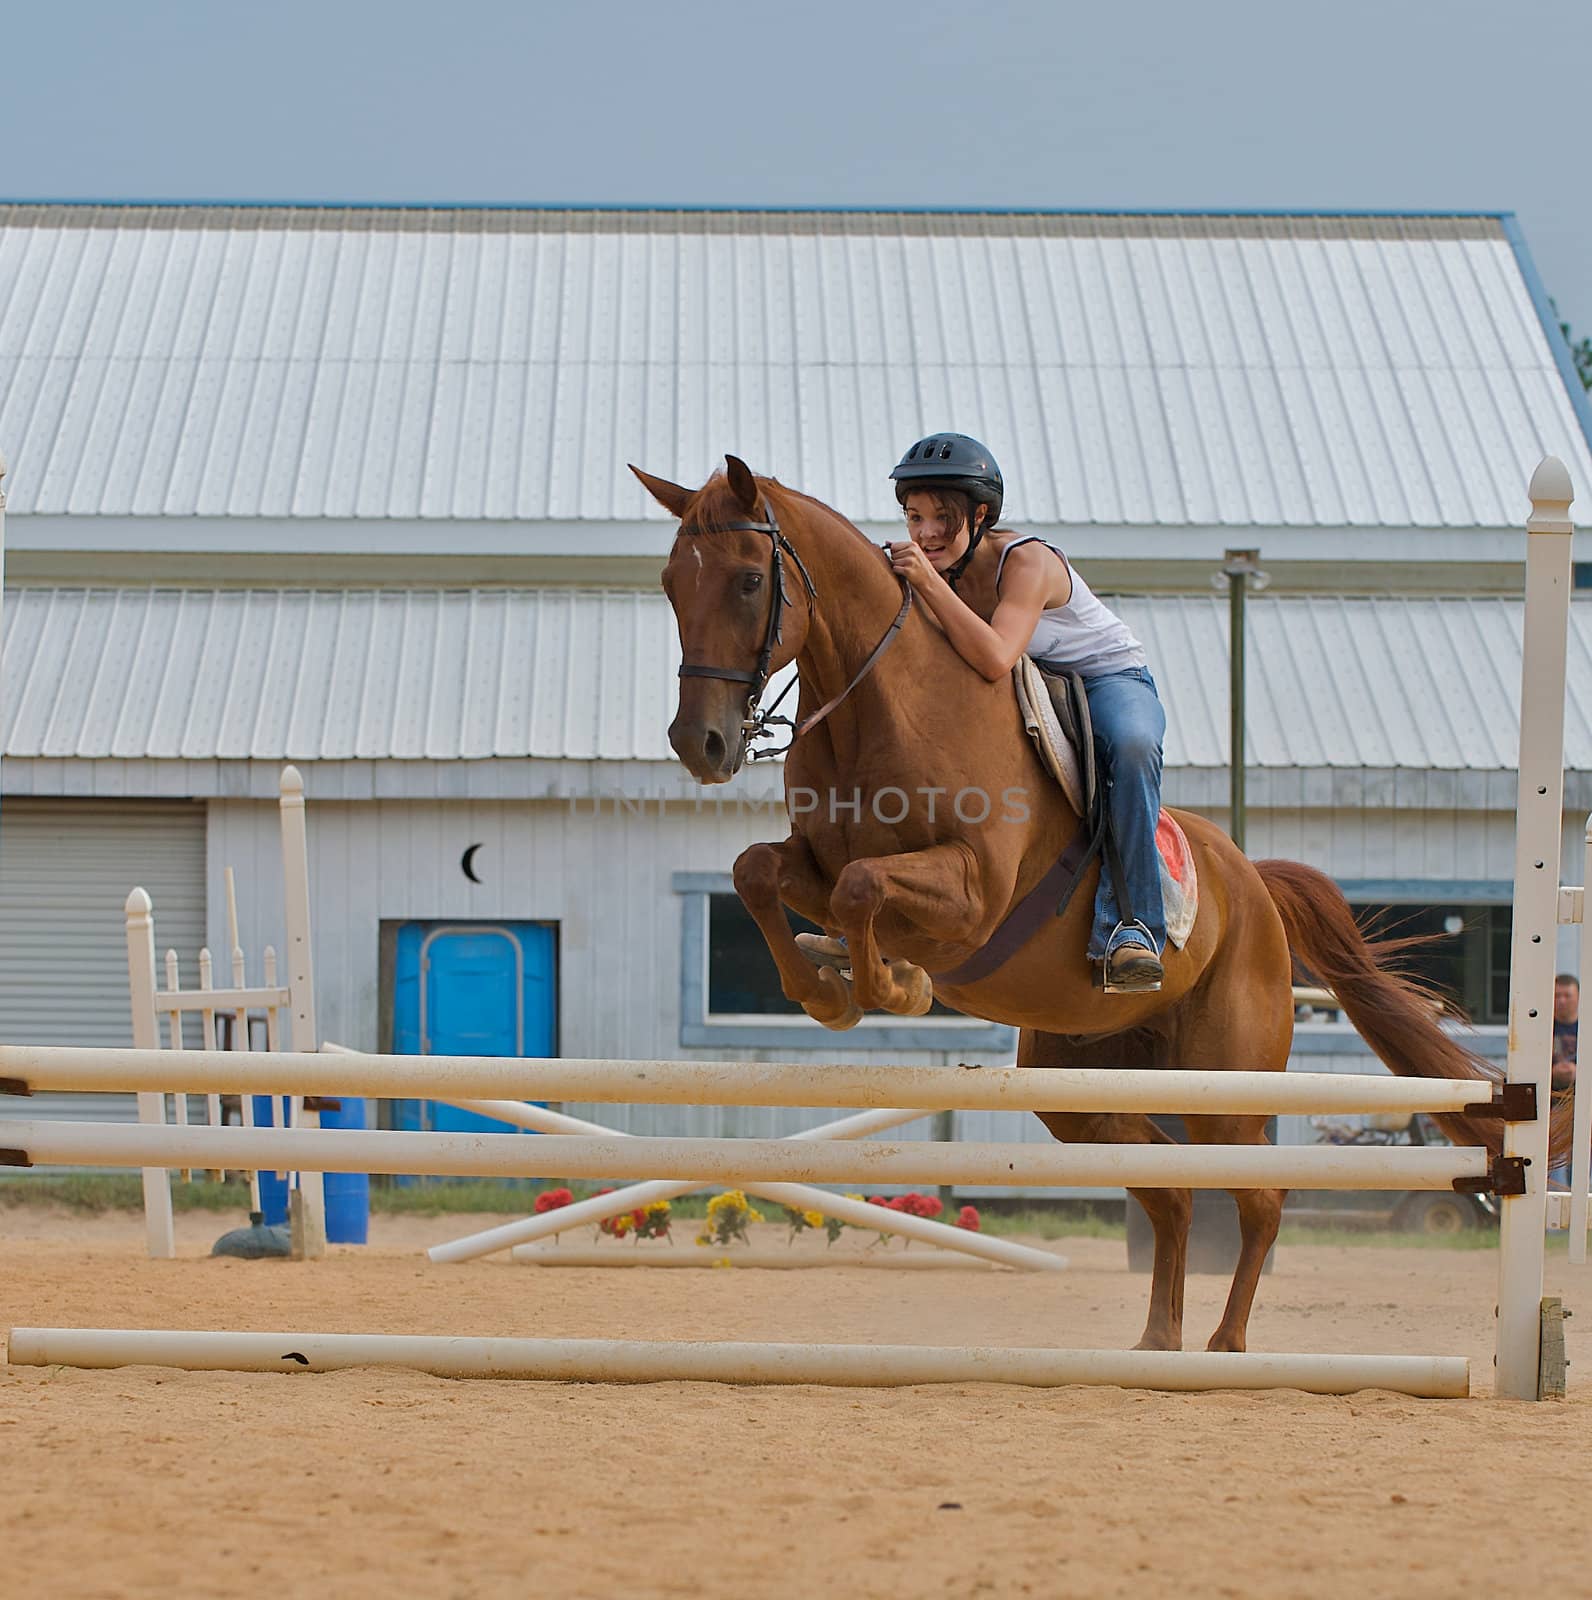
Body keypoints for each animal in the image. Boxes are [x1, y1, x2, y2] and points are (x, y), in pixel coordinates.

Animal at [633, 454, 1542, 1350]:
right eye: (672, 584)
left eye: (751, 580)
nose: (699, 745)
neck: (882, 710)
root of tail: (1253, 884)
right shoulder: (816, 867)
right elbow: (759, 872)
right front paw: (831, 989)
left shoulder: (972, 896)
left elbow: (864, 887)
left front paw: (891, 986)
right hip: (1080, 1086)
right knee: (1171, 1190)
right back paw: (1157, 1345)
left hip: (1222, 1084)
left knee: (1258, 1195)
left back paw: (1225, 1346)